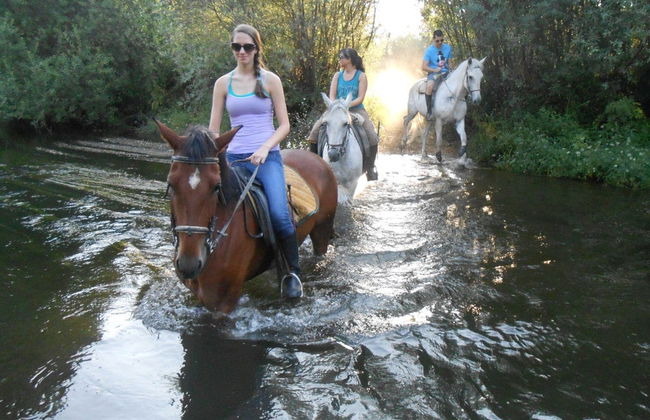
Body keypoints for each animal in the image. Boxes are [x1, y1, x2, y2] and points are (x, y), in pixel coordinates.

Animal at [155, 120, 338, 313]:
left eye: (216, 186)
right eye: (171, 184)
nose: (188, 263)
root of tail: (316, 159)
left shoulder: (224, 303)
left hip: (322, 229)